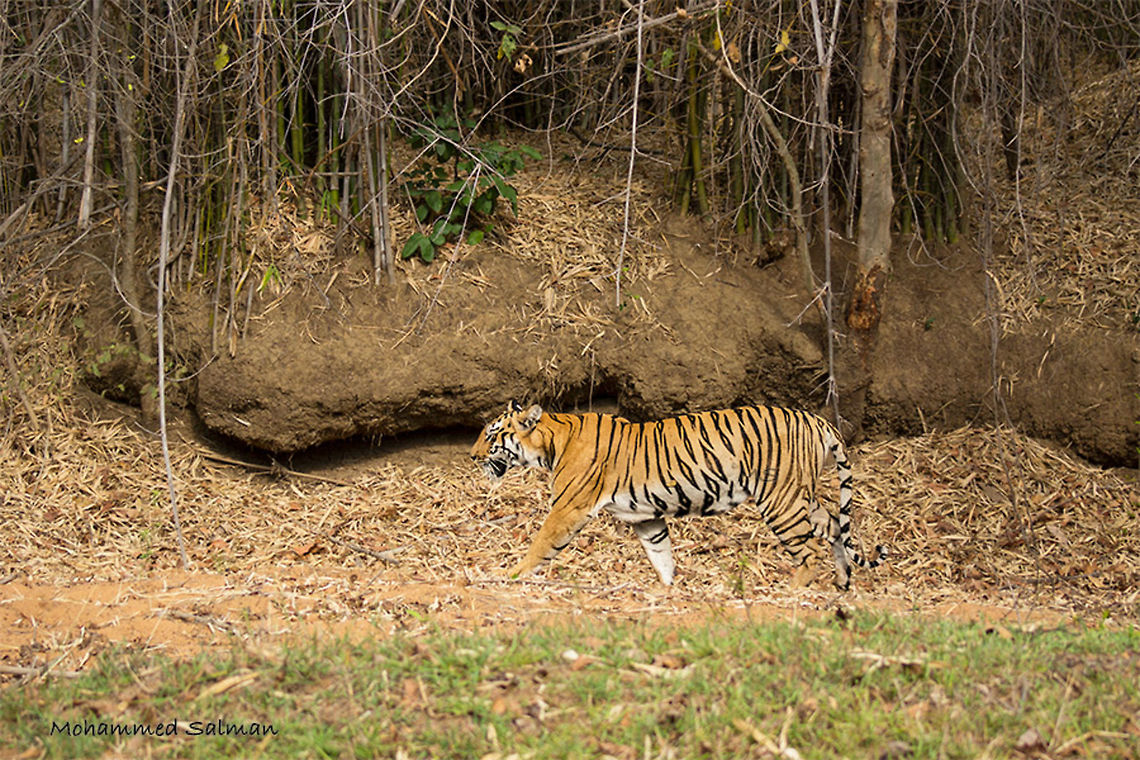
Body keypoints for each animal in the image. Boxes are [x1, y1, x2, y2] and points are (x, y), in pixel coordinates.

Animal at [470, 401, 886, 589]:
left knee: (810, 549)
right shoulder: (645, 517)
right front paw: (669, 589)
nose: (472, 456)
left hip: (780, 500)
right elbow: (661, 554)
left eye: (491, 435)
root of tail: (818, 421)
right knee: (835, 528)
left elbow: (541, 543)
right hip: (801, 495)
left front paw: (510, 574)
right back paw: (843, 583)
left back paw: (793, 590)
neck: (553, 438)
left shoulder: (568, 508)